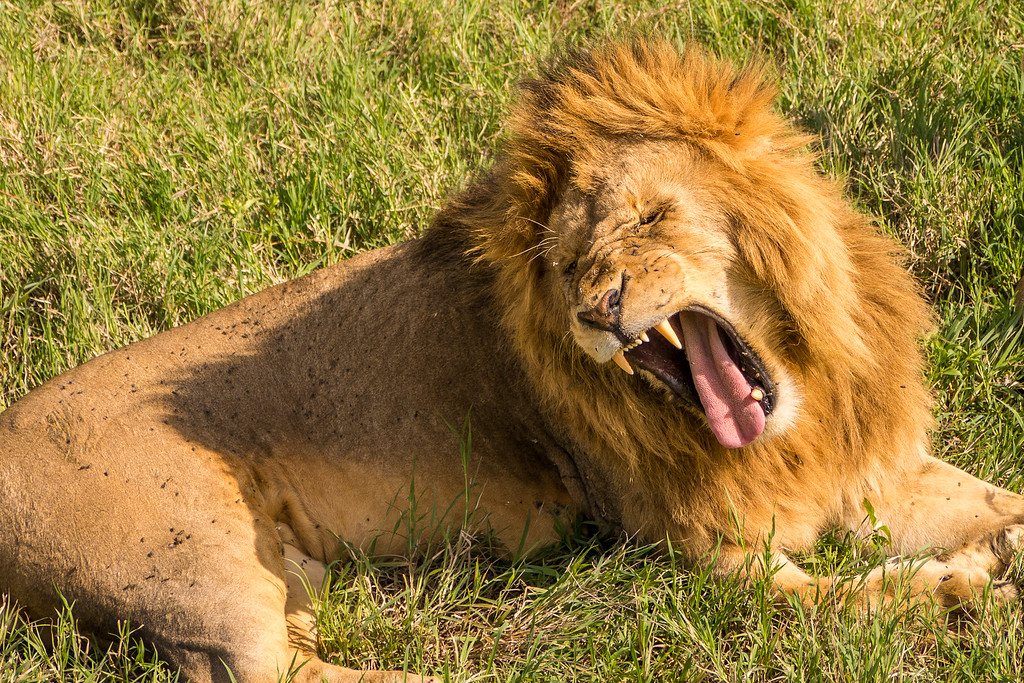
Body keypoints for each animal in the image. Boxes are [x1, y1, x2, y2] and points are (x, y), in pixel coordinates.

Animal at [2, 38, 1023, 683]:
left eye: (651, 218)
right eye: (568, 264)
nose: (598, 309)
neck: (805, 397)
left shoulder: (870, 473)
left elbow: (995, 498)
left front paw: (997, 541)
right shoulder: (691, 546)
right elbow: (826, 603)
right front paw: (957, 589)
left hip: (285, 572)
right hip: (199, 556)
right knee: (270, 674)